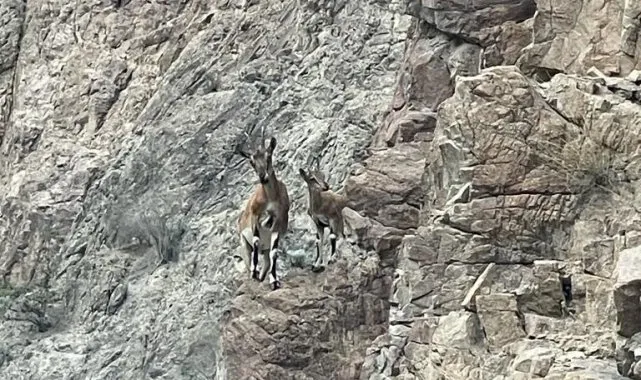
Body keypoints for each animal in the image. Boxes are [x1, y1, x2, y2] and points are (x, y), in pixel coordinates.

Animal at [235, 132, 290, 290]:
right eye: (251, 161)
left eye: (268, 155)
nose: (263, 177)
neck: (271, 197)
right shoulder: (255, 215)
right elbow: (256, 240)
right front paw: (255, 270)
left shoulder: (279, 220)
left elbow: (274, 253)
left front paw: (274, 281)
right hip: (243, 242)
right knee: (249, 254)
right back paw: (253, 273)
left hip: (264, 251)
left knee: (266, 260)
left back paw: (262, 277)